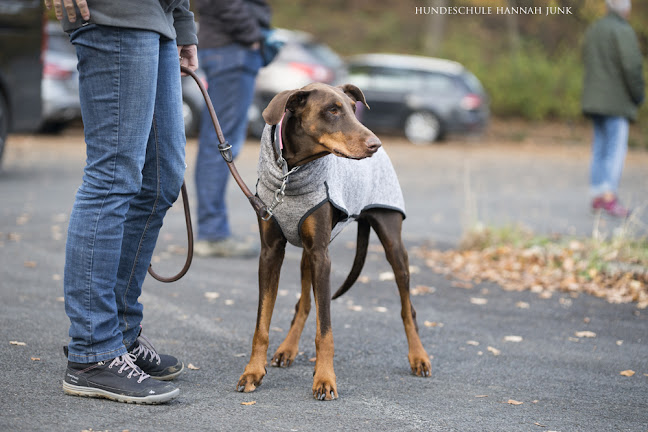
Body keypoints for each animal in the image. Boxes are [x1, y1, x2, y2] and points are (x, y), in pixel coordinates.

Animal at [237, 82, 430, 400]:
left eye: (353, 109)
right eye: (332, 110)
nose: (375, 144)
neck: (292, 171)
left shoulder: (322, 256)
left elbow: (324, 329)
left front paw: (325, 379)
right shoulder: (271, 252)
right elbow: (261, 323)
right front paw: (253, 371)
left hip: (393, 243)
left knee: (407, 307)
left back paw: (419, 357)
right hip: (306, 254)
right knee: (303, 304)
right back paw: (287, 349)